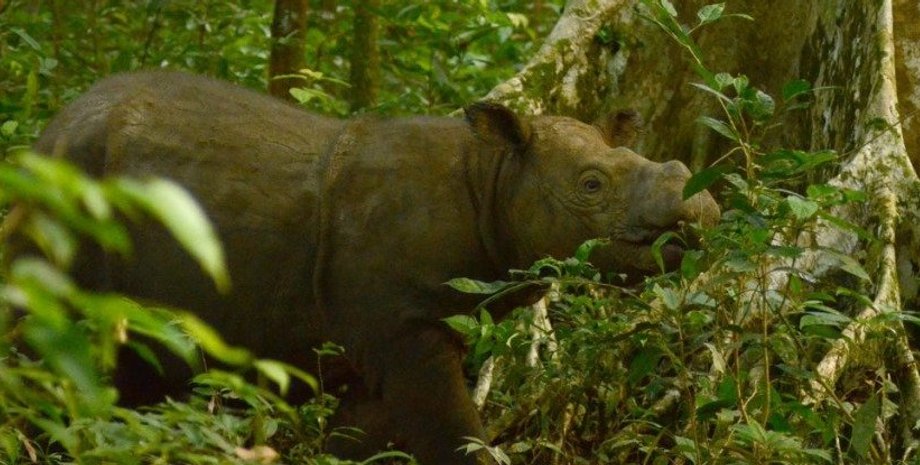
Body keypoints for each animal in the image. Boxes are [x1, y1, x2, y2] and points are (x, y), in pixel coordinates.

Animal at [34, 71, 720, 465]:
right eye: (591, 184)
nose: (703, 207)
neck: (494, 176)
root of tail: (49, 131)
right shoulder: (404, 323)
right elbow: (456, 437)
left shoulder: (398, 331)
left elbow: (359, 444)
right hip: (65, 188)